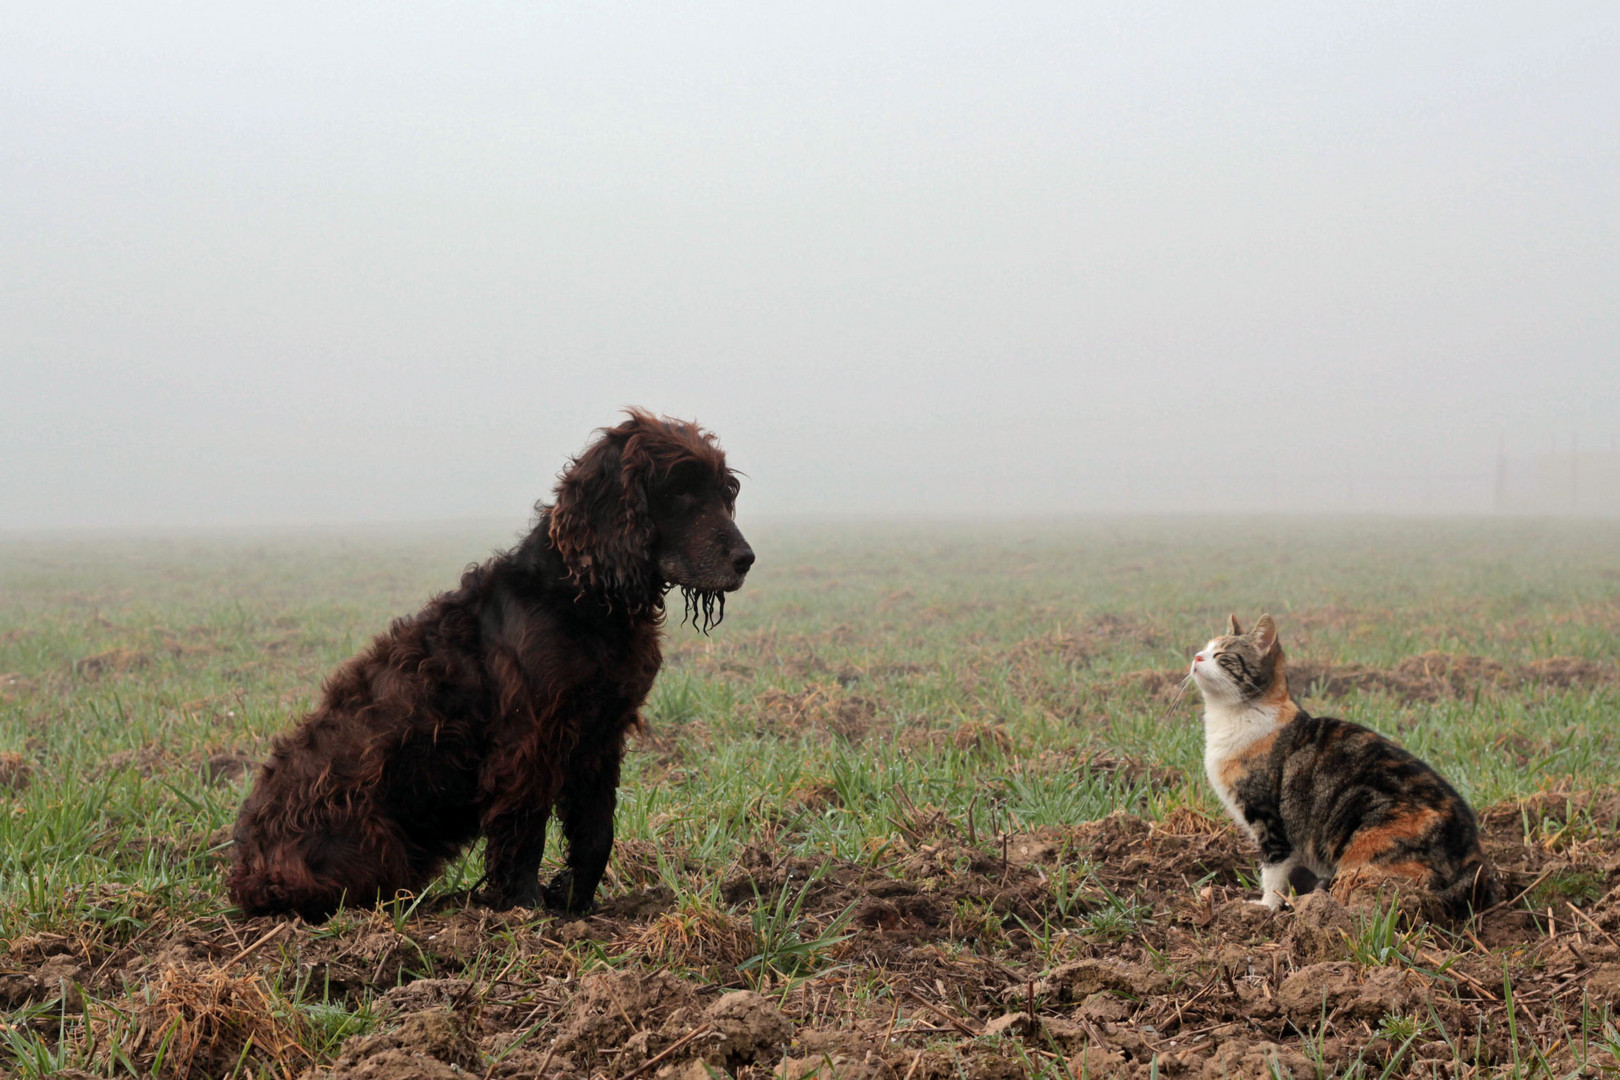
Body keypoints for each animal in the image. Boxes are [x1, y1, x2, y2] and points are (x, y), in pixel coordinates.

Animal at [1192, 615, 1490, 913]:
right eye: (1205, 648)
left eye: (1222, 655)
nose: (1196, 656)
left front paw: (1265, 907)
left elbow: (1274, 870)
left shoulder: (1269, 820)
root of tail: (1472, 851)